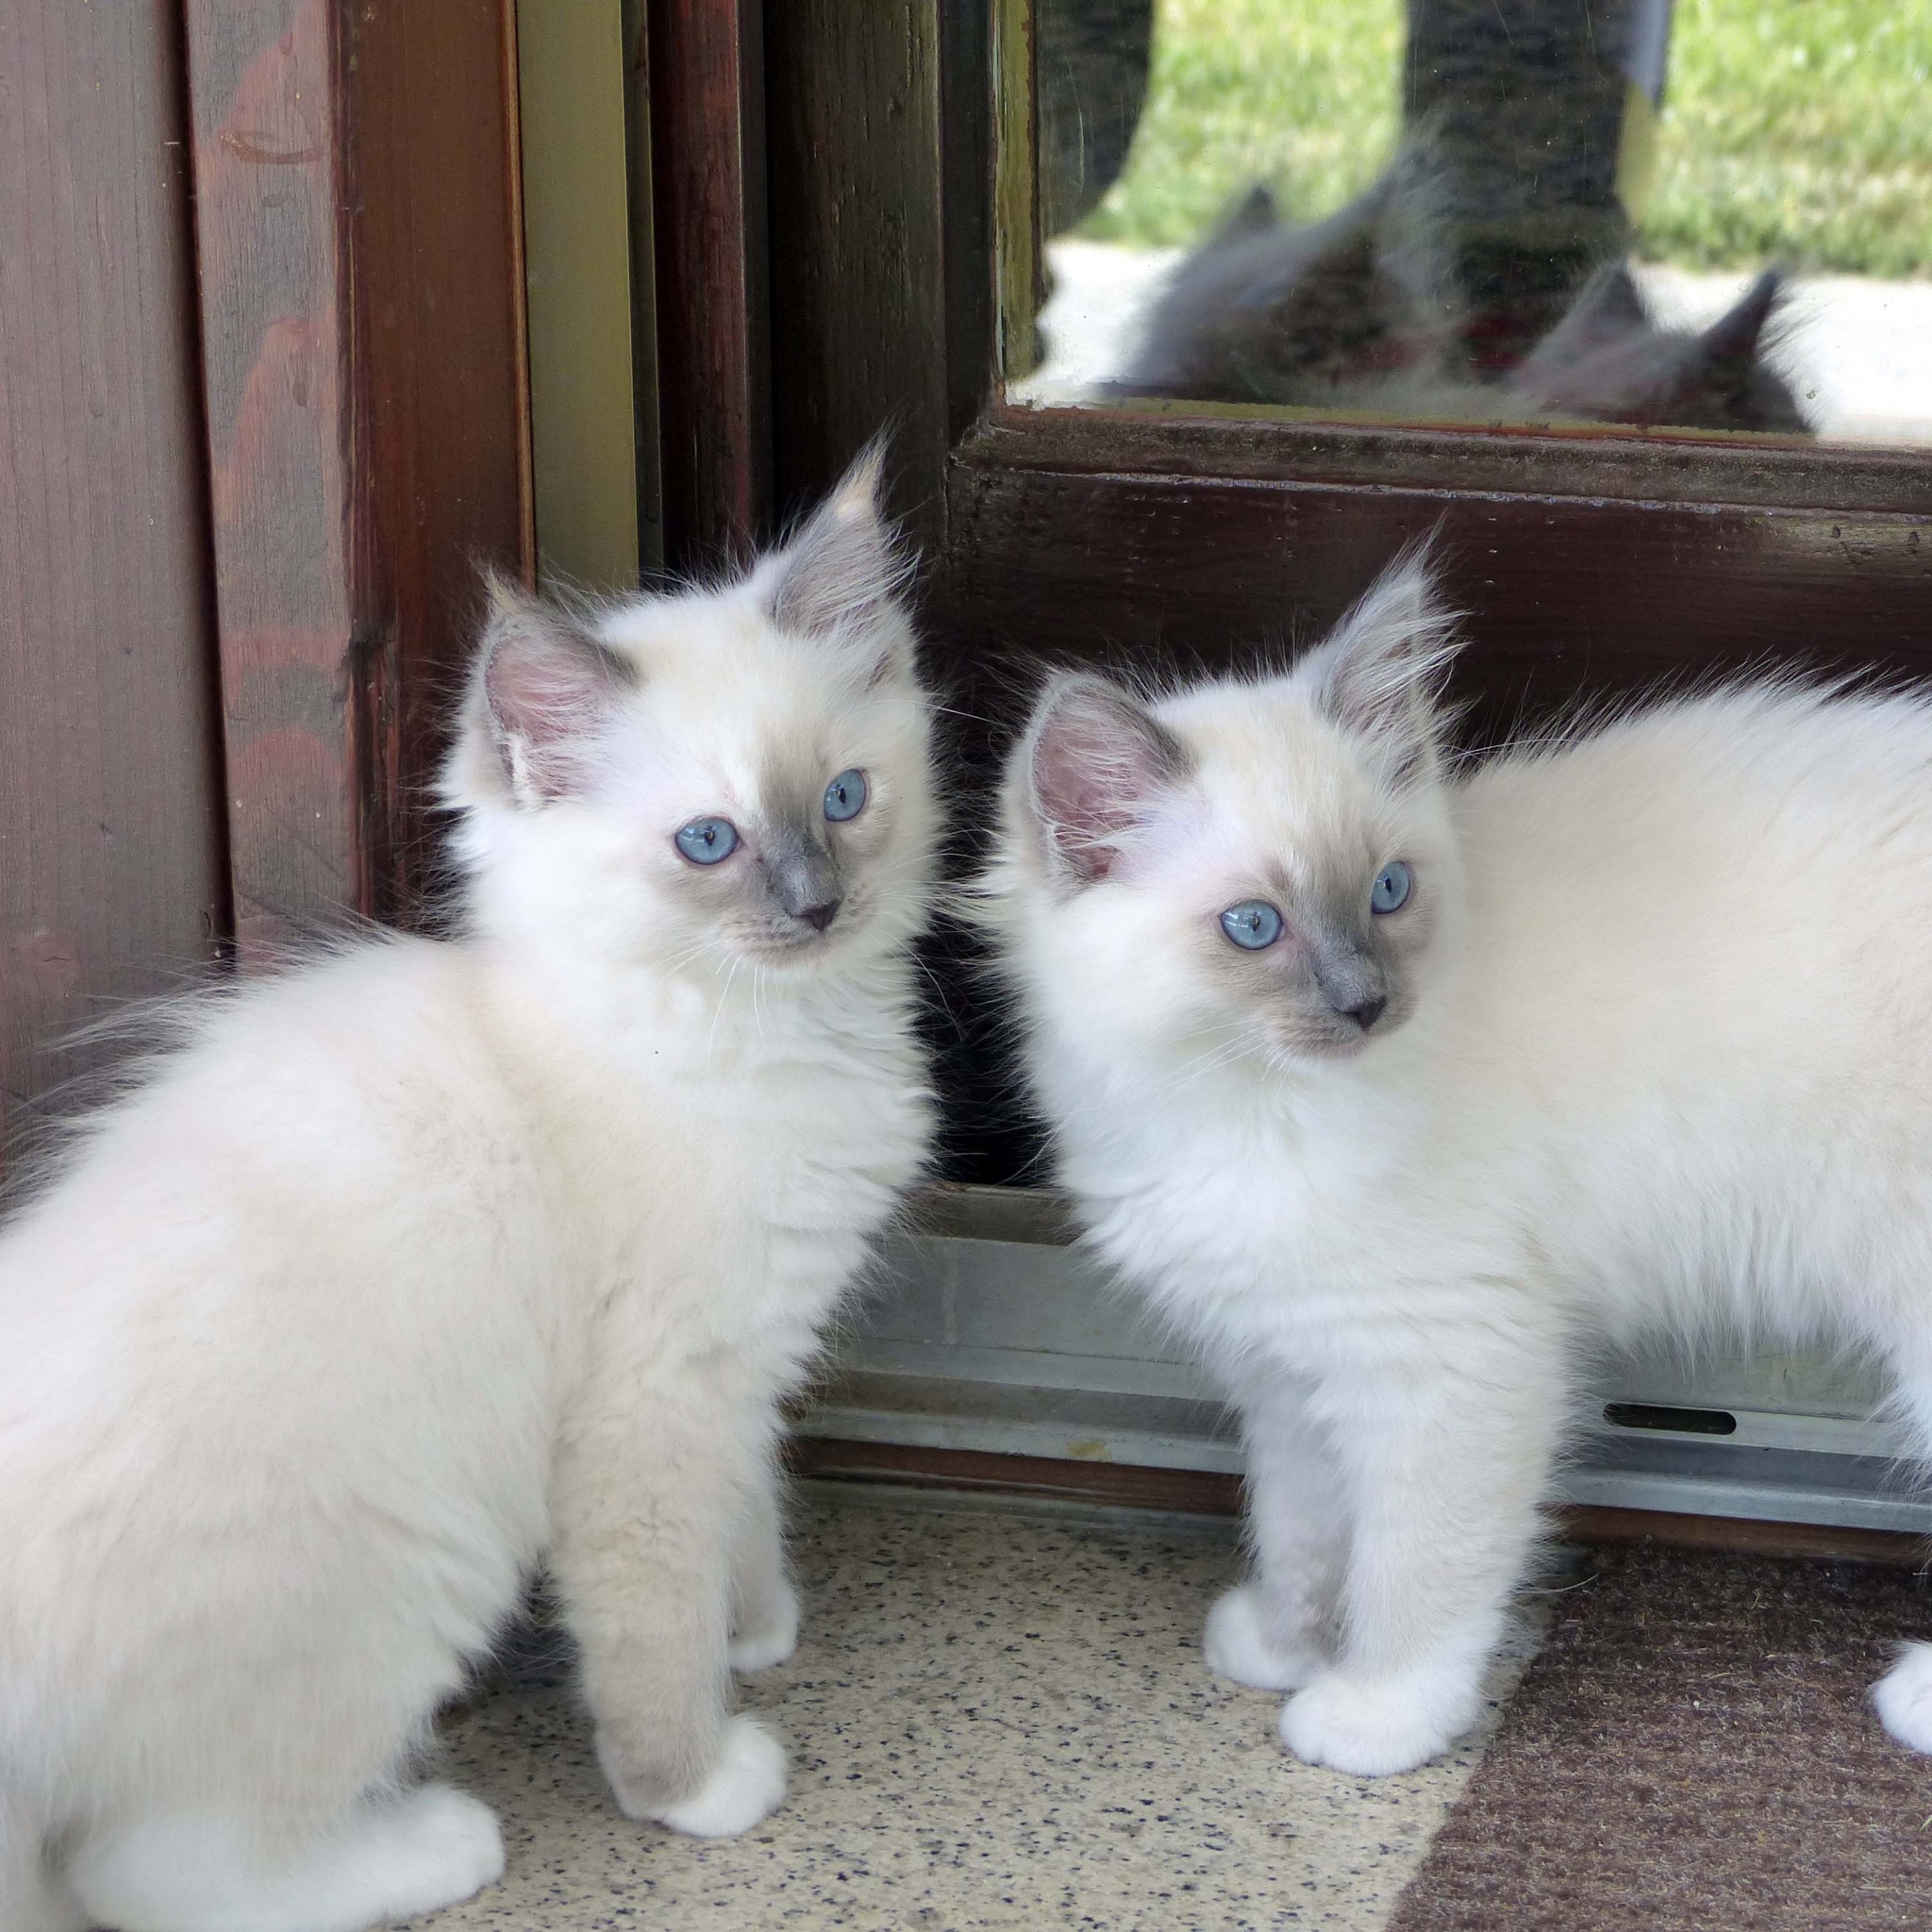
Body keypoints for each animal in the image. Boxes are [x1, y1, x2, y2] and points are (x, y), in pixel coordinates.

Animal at [0, 450, 938, 1932]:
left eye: (844, 801)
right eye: (710, 841)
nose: (814, 908)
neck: (739, 1035)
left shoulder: (743, 1363)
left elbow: (744, 1511)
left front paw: (756, 1623)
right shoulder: (655, 1397)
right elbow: (653, 1621)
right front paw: (696, 1779)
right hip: (406, 1576)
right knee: (161, 1870)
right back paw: (435, 1846)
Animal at [981, 547, 1932, 1777]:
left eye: (1387, 891)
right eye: (1254, 926)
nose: (1366, 1003)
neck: (1237, 1106)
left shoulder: (1452, 1361)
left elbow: (1414, 1573)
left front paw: (1371, 1714)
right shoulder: (1285, 1363)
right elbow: (1298, 1532)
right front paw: (1280, 1645)